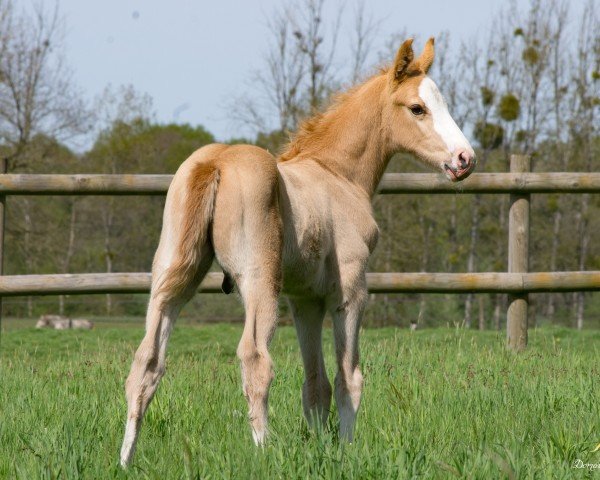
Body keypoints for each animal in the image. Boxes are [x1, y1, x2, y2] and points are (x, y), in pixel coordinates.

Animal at [119, 37, 476, 464]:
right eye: (417, 108)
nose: (464, 159)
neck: (338, 174)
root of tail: (216, 163)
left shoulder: (305, 301)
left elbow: (316, 384)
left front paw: (322, 449)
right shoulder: (349, 293)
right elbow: (348, 378)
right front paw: (347, 451)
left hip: (171, 274)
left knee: (146, 362)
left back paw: (125, 460)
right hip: (259, 281)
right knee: (255, 359)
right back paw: (263, 453)